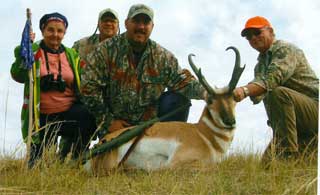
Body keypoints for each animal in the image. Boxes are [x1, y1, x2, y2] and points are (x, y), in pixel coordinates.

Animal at [84, 46, 245, 174]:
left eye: (234, 97)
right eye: (210, 100)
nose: (230, 121)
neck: (204, 134)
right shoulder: (176, 163)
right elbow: (213, 168)